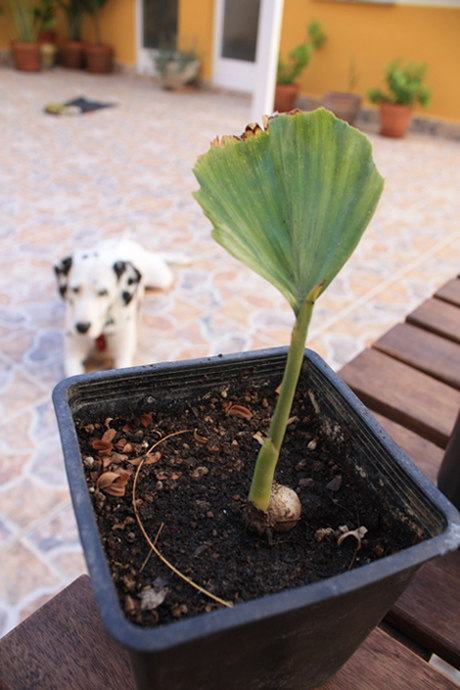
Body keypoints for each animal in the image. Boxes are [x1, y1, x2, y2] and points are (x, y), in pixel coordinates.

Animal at [56, 236, 186, 376]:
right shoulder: (72, 357)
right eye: (75, 289)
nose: (82, 327)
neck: (101, 331)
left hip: (162, 278)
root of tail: (124, 239)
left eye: (103, 292)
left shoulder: (123, 356)